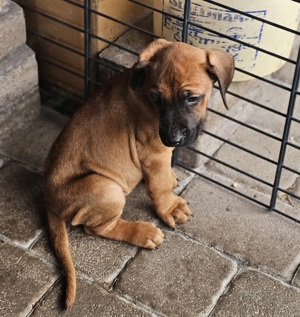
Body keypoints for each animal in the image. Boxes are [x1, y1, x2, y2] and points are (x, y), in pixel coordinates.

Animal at [44, 38, 234, 308]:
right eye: (156, 98)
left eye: (193, 98)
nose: (172, 139)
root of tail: (47, 200)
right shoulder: (154, 153)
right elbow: (159, 185)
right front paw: (170, 208)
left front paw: (172, 178)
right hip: (106, 188)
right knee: (98, 228)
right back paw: (142, 233)